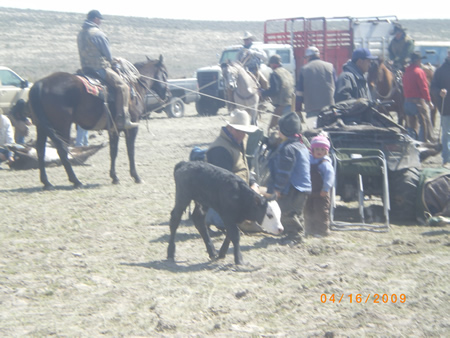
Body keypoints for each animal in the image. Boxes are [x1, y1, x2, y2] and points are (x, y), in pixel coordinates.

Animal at [28, 54, 169, 189]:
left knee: (40, 150)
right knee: (62, 151)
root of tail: (40, 84)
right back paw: (76, 181)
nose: (167, 95)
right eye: (165, 73)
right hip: (62, 126)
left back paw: (47, 183)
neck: (133, 85)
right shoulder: (132, 127)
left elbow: (113, 151)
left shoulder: (114, 130)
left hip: (41, 126)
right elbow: (130, 151)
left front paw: (114, 177)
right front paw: (136, 176)